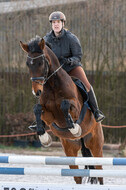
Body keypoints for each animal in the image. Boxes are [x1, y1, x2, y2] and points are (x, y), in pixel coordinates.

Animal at [19, 36, 104, 185]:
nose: (37, 92)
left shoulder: (76, 108)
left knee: (100, 174)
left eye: (41, 62)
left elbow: (65, 105)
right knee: (77, 176)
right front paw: (44, 137)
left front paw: (75, 128)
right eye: (28, 64)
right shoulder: (48, 115)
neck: (52, 85)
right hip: (70, 148)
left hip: (96, 146)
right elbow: (37, 109)